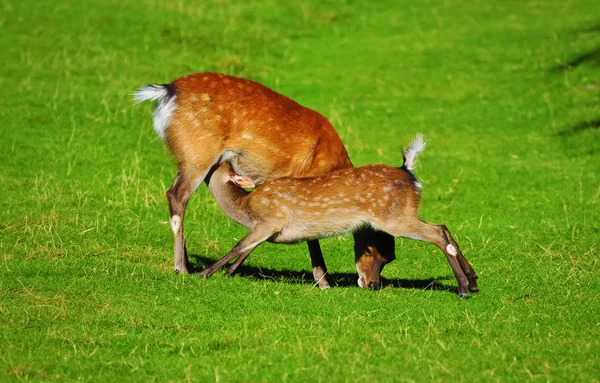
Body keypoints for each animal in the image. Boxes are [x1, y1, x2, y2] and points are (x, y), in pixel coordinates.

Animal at [132, 73, 394, 288]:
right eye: (371, 249)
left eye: (390, 258)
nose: (372, 284)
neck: (331, 165)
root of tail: (166, 92)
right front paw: (323, 281)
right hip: (198, 152)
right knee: (177, 195)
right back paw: (182, 268)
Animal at [202, 136, 478, 298]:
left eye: (218, 165)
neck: (244, 207)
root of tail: (408, 171)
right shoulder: (270, 230)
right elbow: (249, 248)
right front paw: (228, 272)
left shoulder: (270, 219)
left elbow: (239, 245)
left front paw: (205, 273)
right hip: (401, 214)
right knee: (443, 227)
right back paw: (473, 282)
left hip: (394, 216)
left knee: (437, 233)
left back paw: (463, 289)